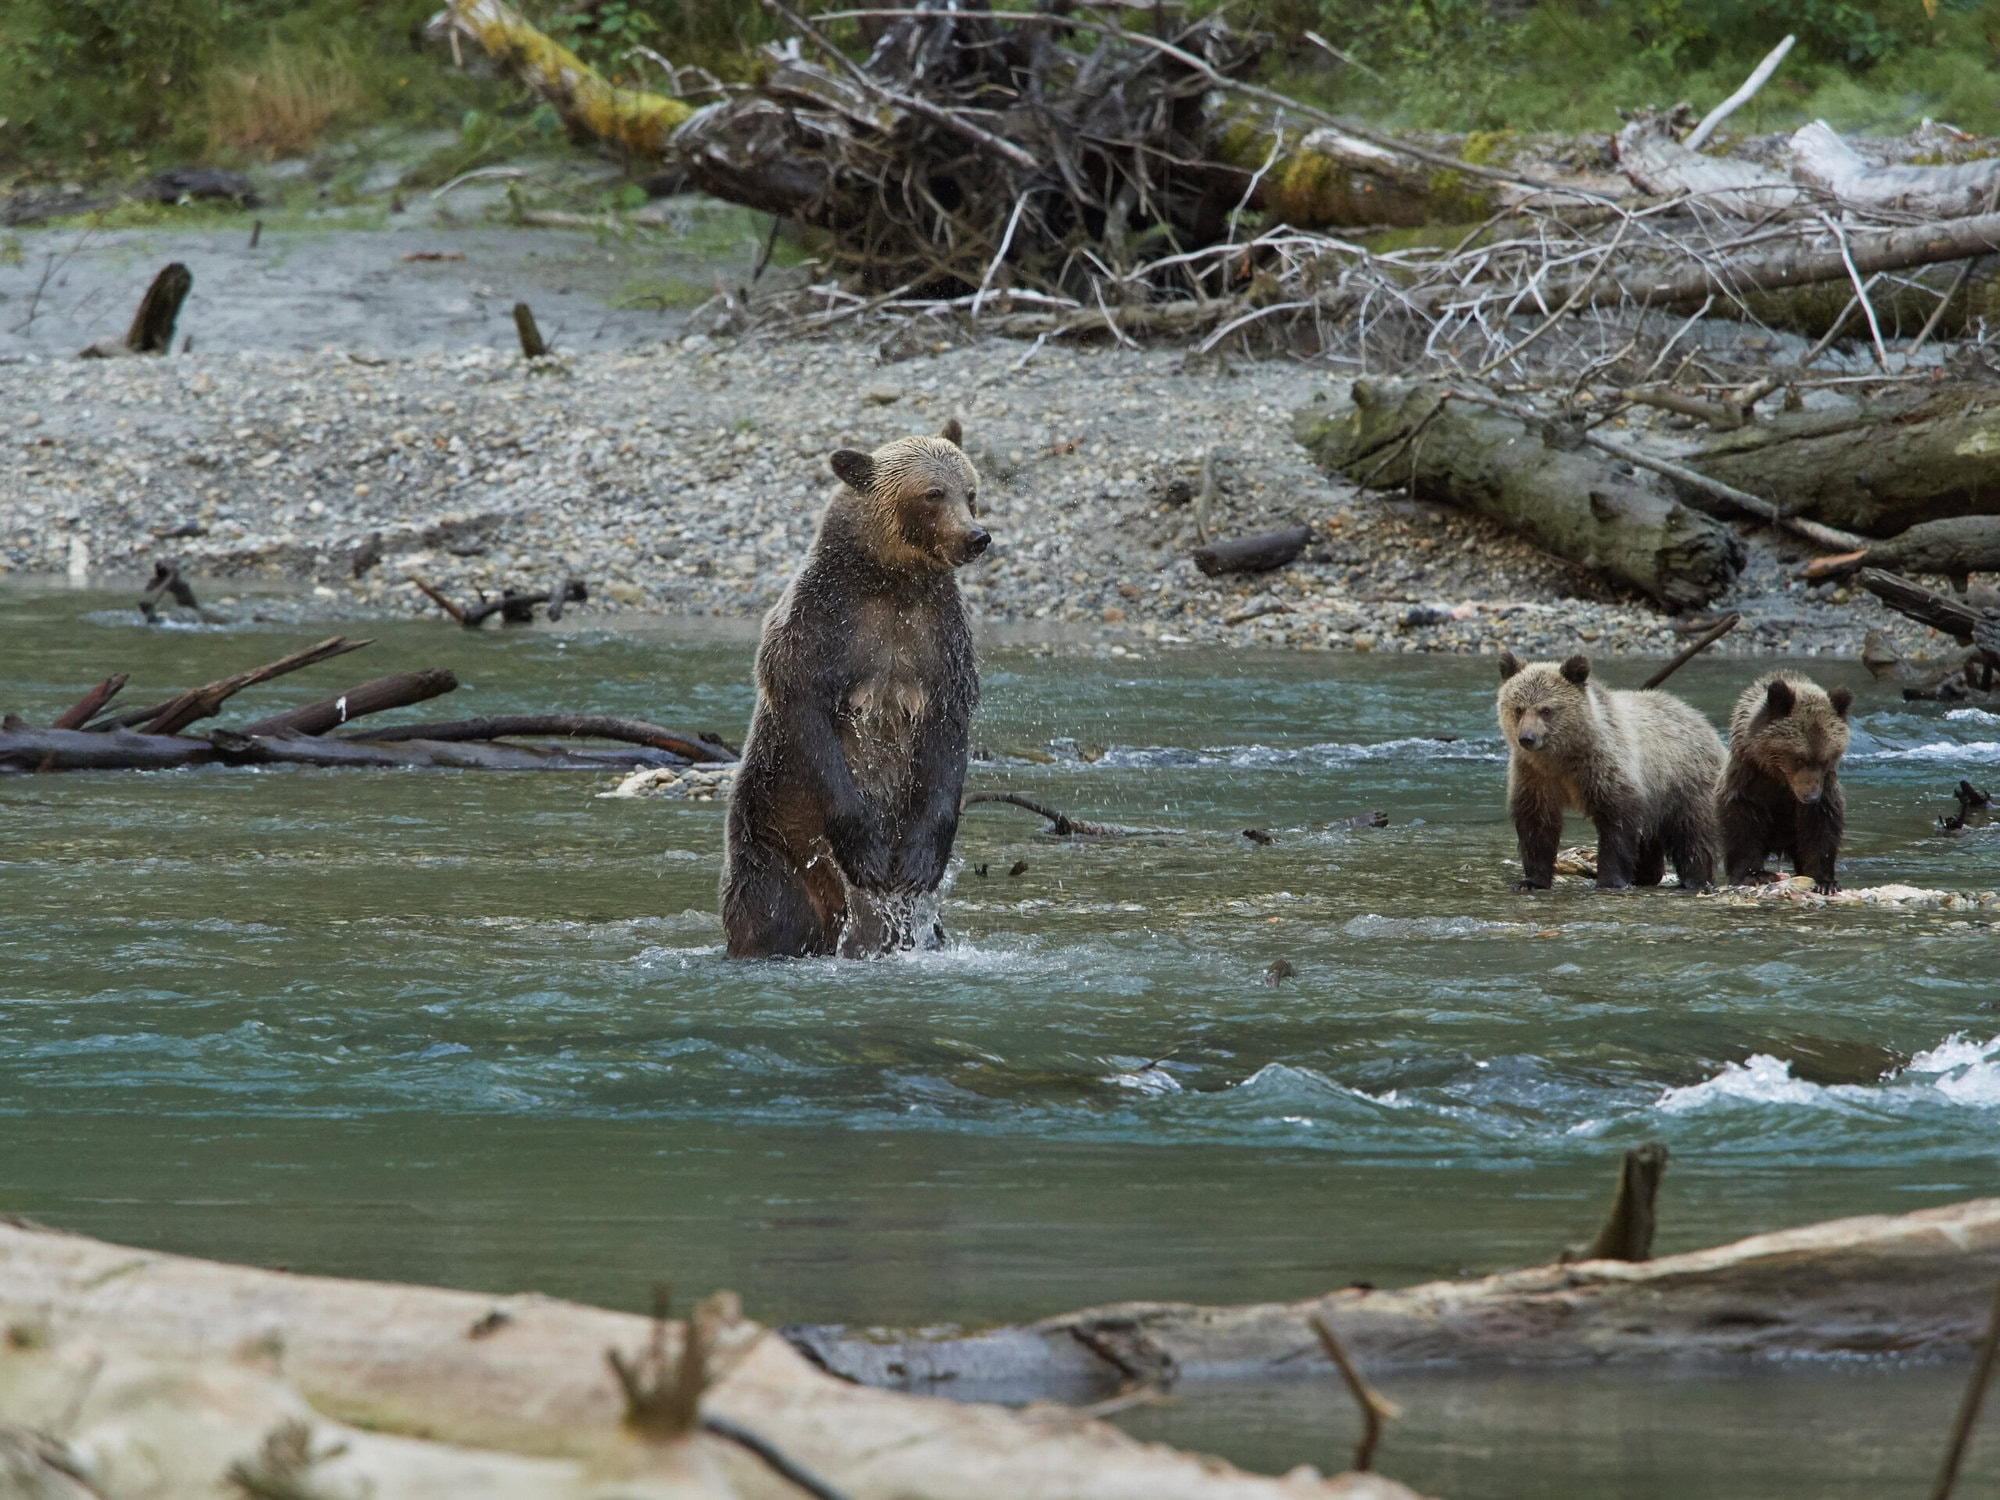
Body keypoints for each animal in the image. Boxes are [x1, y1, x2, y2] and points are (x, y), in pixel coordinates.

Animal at [720, 418, 990, 959]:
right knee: (768, 915)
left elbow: (947, 738)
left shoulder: (939, 640)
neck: (891, 581)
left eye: (971, 491)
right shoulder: (821, 626)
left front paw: (920, 863)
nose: (977, 536)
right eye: (933, 493)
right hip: (772, 841)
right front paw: (867, 852)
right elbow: (809, 718)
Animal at [1496, 652, 1723, 891]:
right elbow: (1536, 824)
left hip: (1684, 783)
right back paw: (1645, 875)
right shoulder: (1535, 776)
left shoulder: (1604, 769)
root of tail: (1701, 720)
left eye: (1546, 710)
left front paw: (1610, 880)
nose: (1527, 738)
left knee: (1694, 835)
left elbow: (1617, 823)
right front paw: (1532, 881)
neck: (1563, 756)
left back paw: (1695, 879)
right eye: (1519, 708)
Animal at [1719, 673, 1852, 894]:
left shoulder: (1822, 790)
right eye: (1799, 758)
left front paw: (1825, 882)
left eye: (1825, 759)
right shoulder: (1748, 781)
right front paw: (1753, 875)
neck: (1780, 779)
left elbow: (1821, 828)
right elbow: (1742, 825)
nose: (1811, 796)